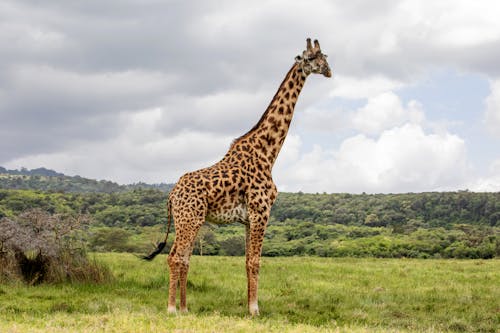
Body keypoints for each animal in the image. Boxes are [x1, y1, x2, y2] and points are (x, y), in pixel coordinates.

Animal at [143, 38, 332, 314]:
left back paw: (185, 309)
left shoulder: (248, 219)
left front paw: (248, 307)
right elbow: (255, 261)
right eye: (310, 58)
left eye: (324, 56)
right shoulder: (261, 212)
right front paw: (255, 309)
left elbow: (246, 261)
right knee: (175, 256)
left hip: (189, 220)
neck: (268, 153)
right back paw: (171, 309)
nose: (328, 71)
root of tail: (171, 196)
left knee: (184, 258)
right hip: (188, 219)